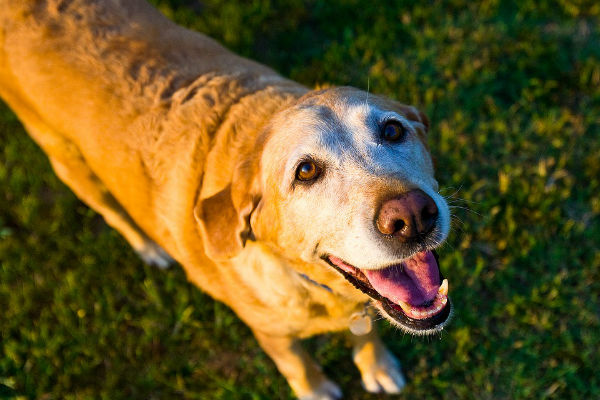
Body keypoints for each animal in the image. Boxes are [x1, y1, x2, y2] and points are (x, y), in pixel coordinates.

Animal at [0, 1, 450, 398]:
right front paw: (317, 390)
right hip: (69, 163)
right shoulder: (271, 334)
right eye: (305, 172)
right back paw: (149, 248)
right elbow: (298, 364)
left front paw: (377, 366)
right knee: (113, 213)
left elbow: (367, 331)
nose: (412, 217)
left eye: (392, 130)